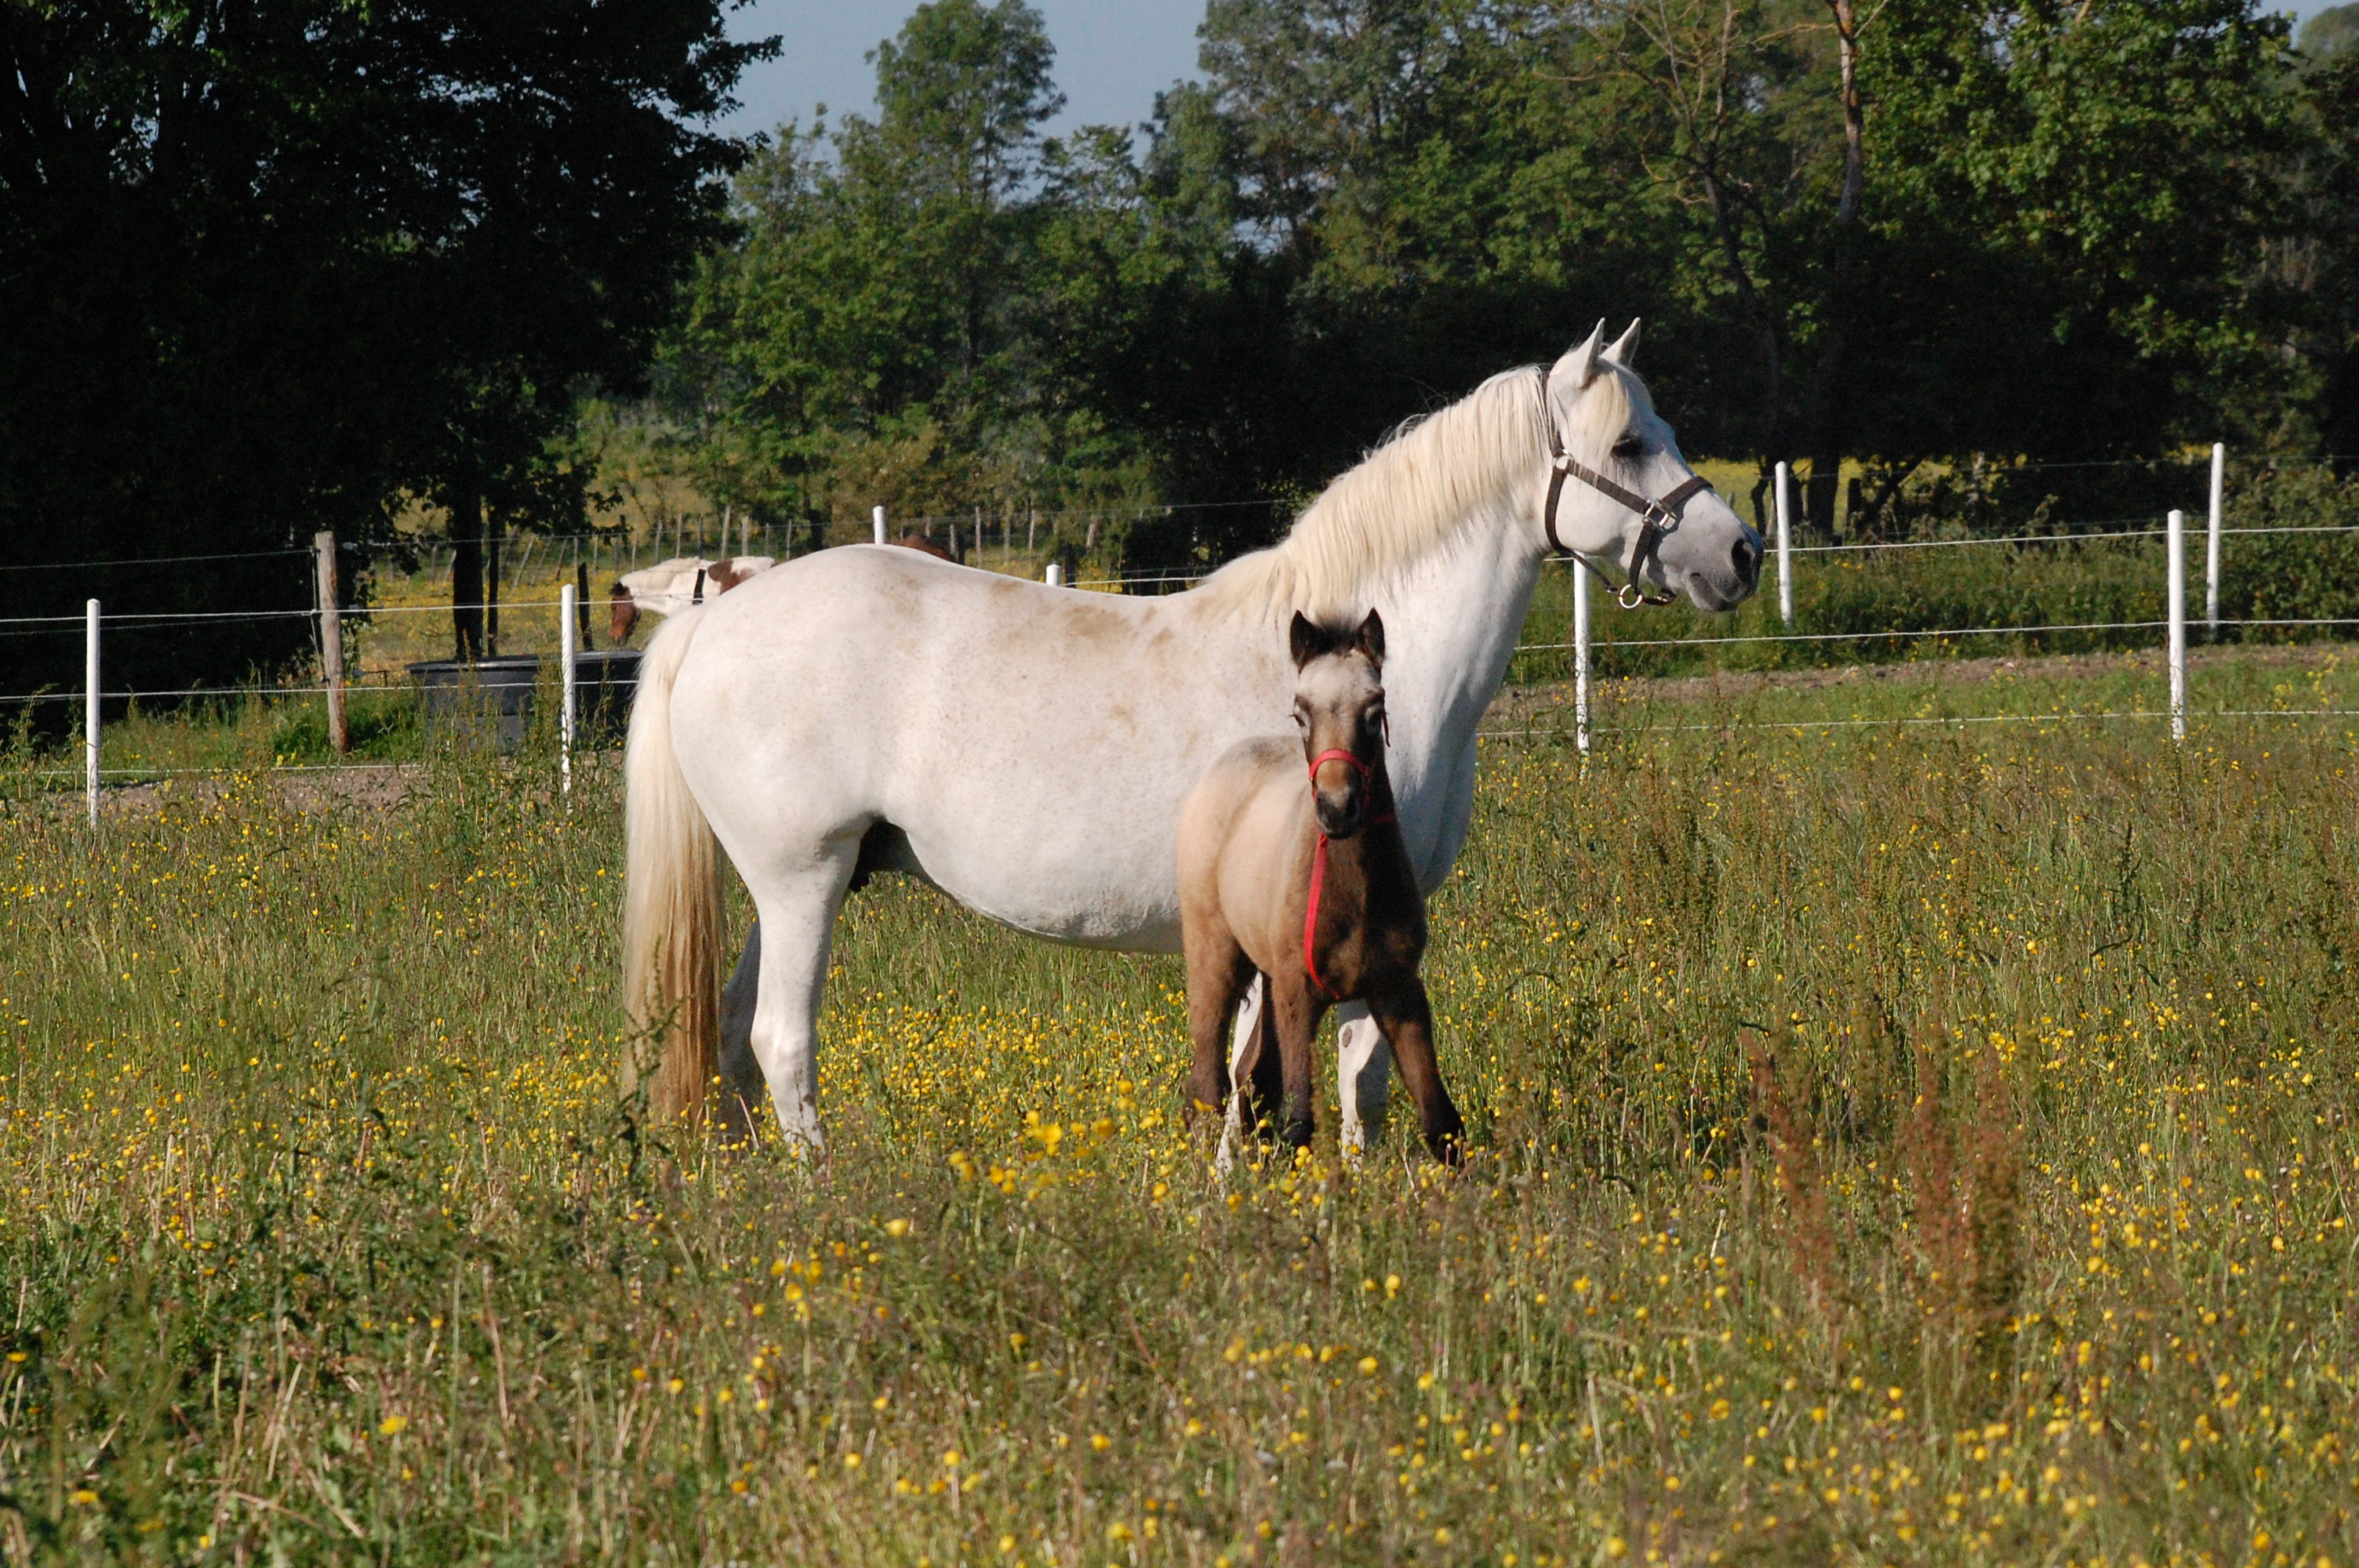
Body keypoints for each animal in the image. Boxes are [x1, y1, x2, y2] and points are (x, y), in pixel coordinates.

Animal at [1174, 612, 1452, 1160]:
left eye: (1375, 709)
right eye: (1300, 712)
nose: (1337, 808)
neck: (1355, 897)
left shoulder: (1399, 990)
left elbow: (1442, 1125)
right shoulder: (1299, 993)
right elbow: (1299, 1121)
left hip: (1268, 977)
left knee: (1254, 1084)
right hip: (1217, 959)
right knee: (1209, 1089)